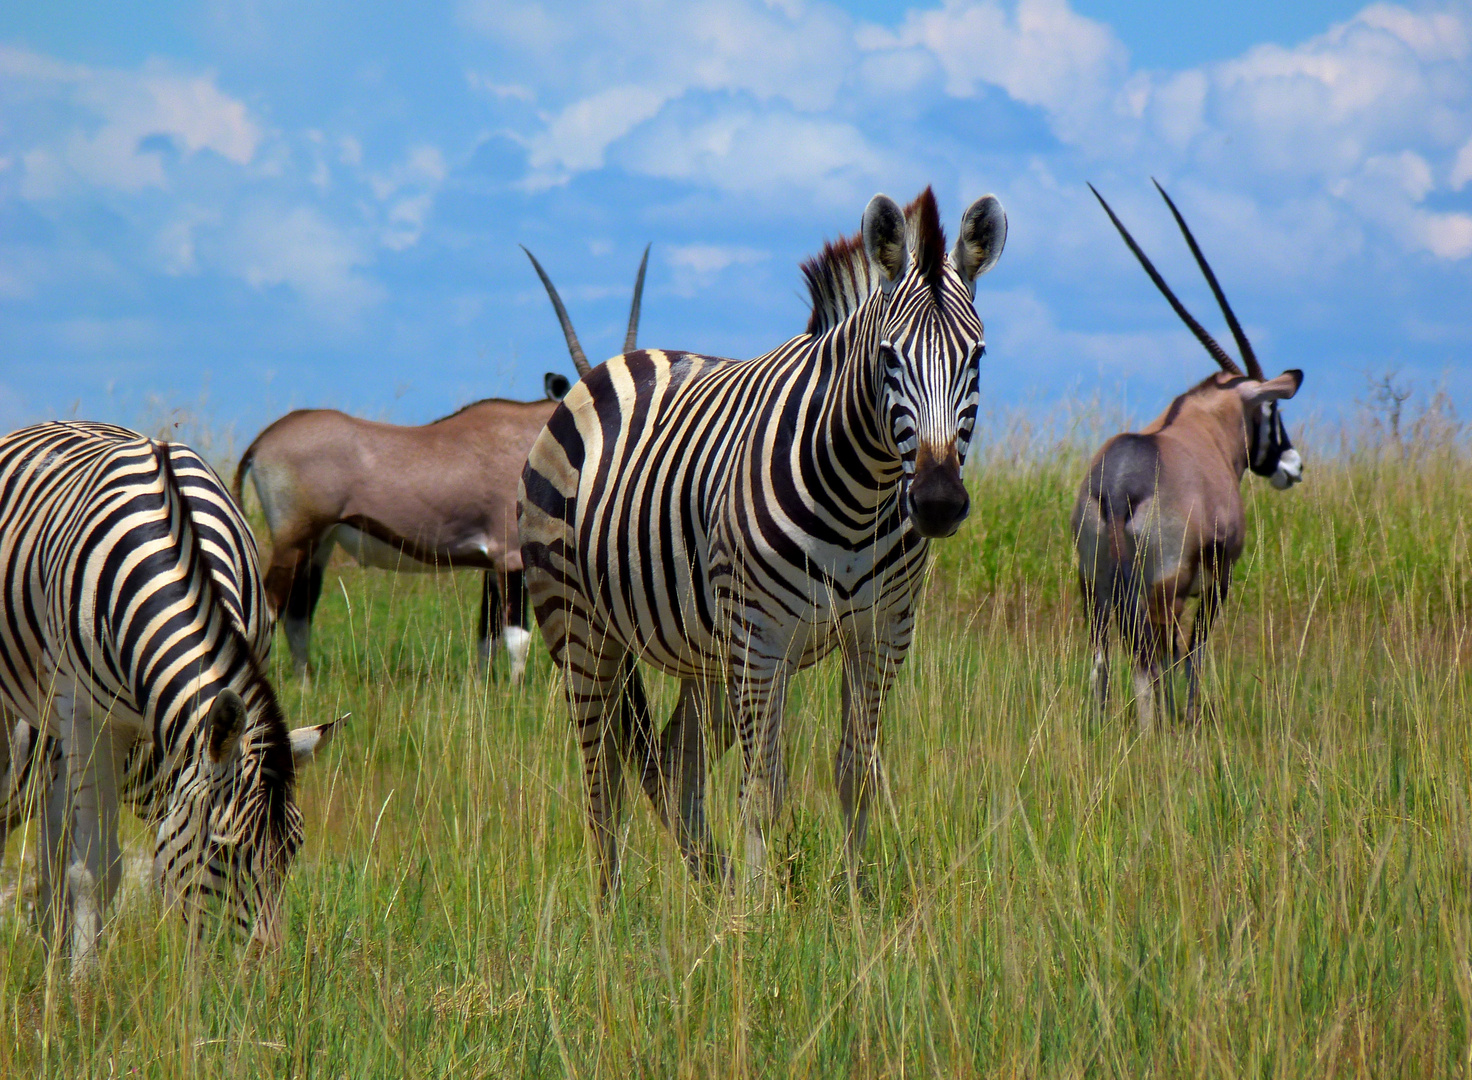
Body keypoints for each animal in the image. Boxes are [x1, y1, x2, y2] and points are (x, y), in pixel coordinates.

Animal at [0, 420, 337, 971]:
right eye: (222, 852)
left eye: (293, 849)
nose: (264, 972)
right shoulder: (88, 720)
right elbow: (93, 870)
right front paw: (84, 983)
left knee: (52, 842)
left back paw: (51, 951)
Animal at [521, 188, 1012, 894]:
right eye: (889, 356)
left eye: (976, 358)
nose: (940, 502)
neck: (862, 496)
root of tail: (620, 363)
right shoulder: (762, 641)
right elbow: (763, 790)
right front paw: (759, 911)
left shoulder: (882, 635)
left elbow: (856, 774)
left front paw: (851, 901)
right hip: (580, 625)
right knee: (602, 778)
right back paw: (612, 909)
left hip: (706, 654)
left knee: (672, 765)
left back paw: (711, 885)